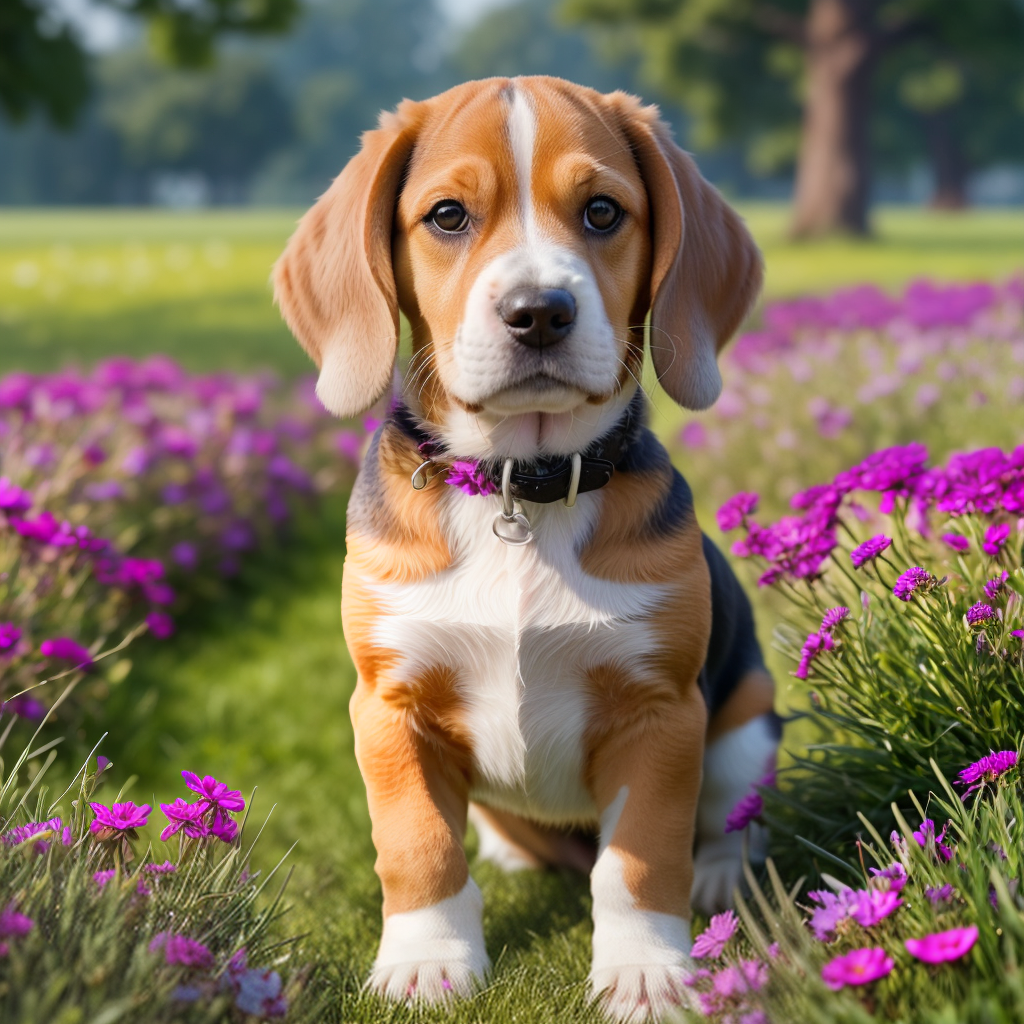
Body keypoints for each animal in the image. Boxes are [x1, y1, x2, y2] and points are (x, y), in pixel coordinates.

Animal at [272, 75, 774, 1019]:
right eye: (447, 216)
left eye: (604, 212)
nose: (538, 311)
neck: (521, 485)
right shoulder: (388, 707)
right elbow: (419, 846)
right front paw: (426, 962)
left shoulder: (662, 712)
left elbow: (640, 862)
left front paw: (646, 971)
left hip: (747, 719)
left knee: (732, 813)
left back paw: (725, 876)